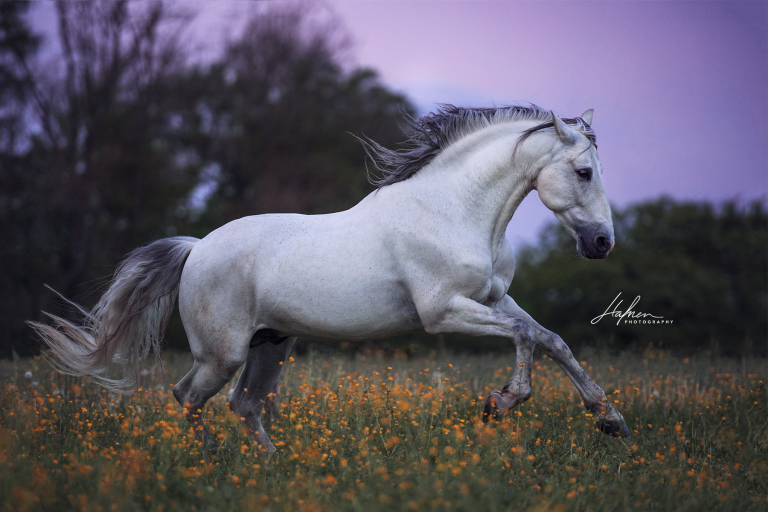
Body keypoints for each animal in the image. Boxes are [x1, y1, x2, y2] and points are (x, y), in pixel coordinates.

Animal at [31, 104, 630, 454]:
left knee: (242, 405)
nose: (603, 242)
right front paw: (500, 404)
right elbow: (528, 339)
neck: (455, 212)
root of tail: (197, 248)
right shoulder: (444, 311)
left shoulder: (495, 298)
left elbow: (553, 340)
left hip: (271, 345)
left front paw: (610, 420)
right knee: (186, 396)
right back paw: (208, 465)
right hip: (222, 353)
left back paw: (270, 469)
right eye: (583, 171)